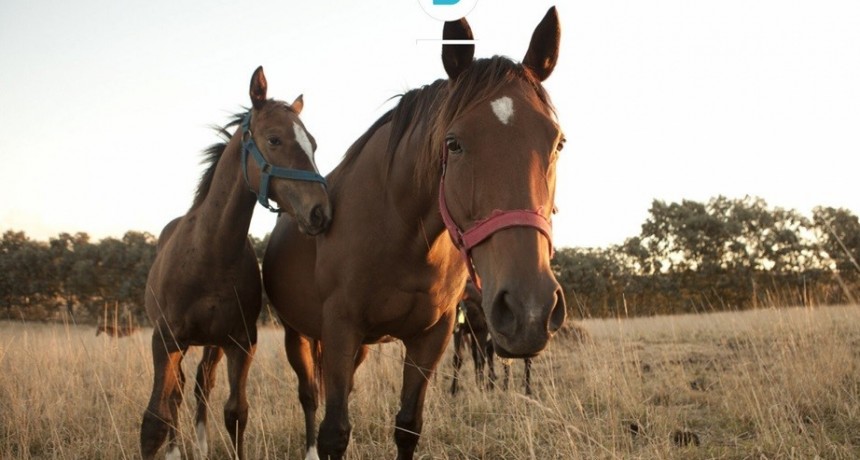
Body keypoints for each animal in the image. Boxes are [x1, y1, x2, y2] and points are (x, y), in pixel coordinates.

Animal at [139, 65, 330, 460]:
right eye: (274, 139)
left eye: (313, 144)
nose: (321, 211)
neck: (210, 253)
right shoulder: (164, 341)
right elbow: (154, 421)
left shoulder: (240, 343)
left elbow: (236, 413)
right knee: (176, 395)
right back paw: (177, 449)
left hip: (211, 344)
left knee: (200, 384)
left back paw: (199, 445)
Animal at [266, 8, 568, 460]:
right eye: (454, 143)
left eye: (558, 142)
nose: (529, 309)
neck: (400, 235)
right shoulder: (339, 329)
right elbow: (334, 432)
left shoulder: (431, 338)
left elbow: (408, 426)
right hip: (299, 335)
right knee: (309, 396)